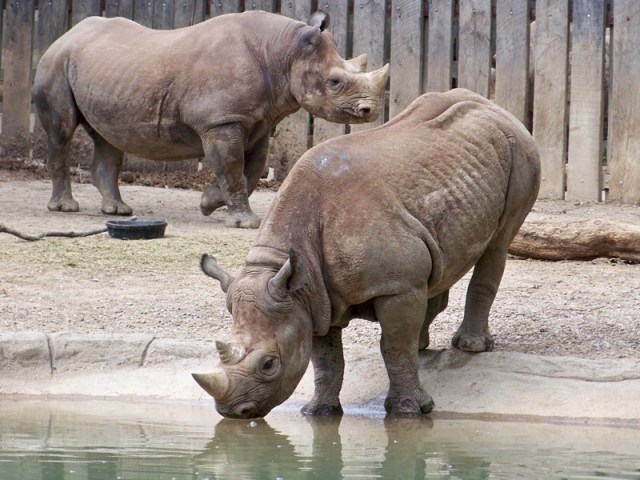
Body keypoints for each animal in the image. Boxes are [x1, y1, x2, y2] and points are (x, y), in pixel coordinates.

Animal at [33, 11, 389, 228]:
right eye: (334, 82)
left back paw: (117, 210)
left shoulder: (258, 121)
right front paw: (245, 222)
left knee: (107, 138)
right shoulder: (221, 121)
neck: (283, 53)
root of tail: (64, 35)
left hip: (97, 68)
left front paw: (207, 203)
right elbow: (232, 168)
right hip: (55, 63)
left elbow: (252, 170)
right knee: (62, 132)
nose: (370, 111)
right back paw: (66, 208)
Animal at [193, 88, 541, 418]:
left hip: (522, 152)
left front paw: (409, 410)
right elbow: (327, 360)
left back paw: (470, 346)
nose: (233, 412)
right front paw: (318, 412)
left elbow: (394, 347)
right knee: (435, 266)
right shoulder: (312, 297)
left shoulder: (394, 286)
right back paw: (423, 344)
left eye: (268, 364)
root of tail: (496, 108)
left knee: (499, 241)